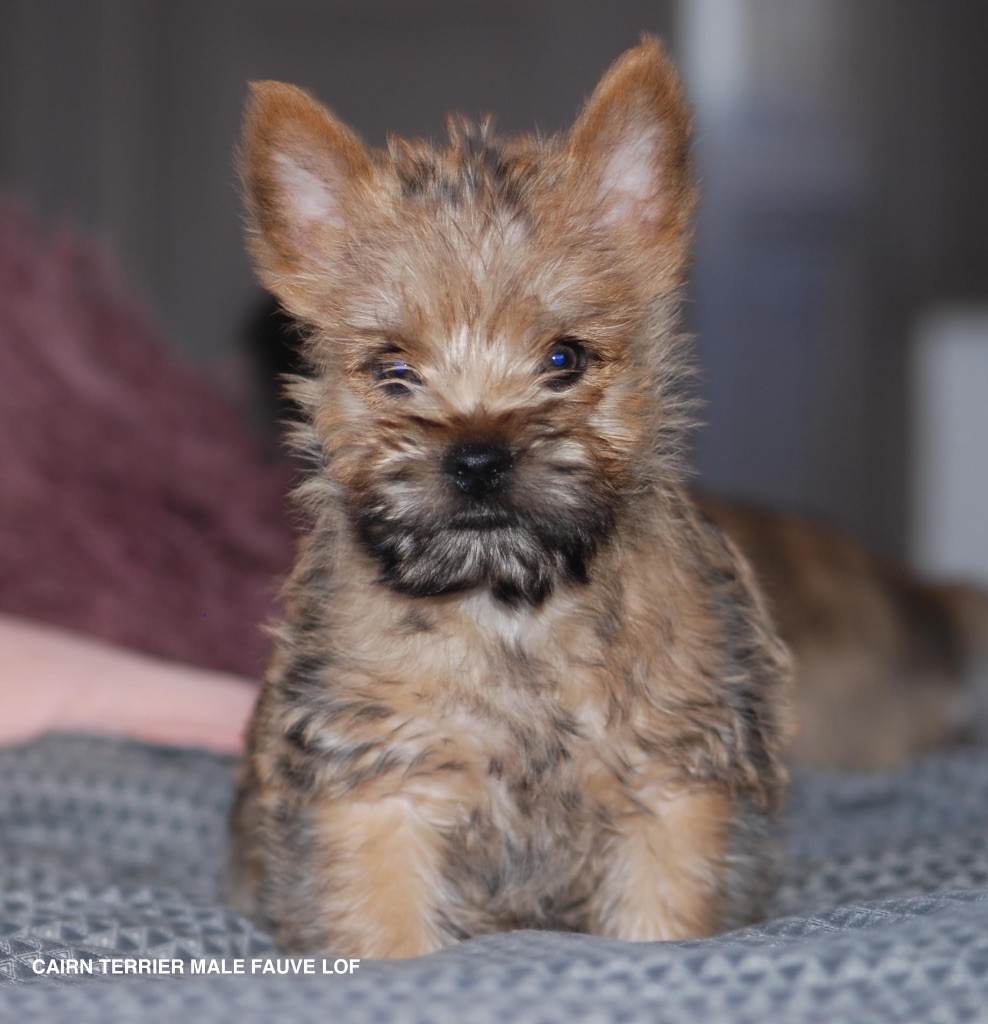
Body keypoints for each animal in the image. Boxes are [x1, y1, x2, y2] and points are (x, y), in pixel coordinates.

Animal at [231, 36, 794, 954]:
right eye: (394, 370)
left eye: (564, 358)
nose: (477, 457)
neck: (509, 609)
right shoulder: (380, 789)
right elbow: (387, 931)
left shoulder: (670, 790)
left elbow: (660, 922)